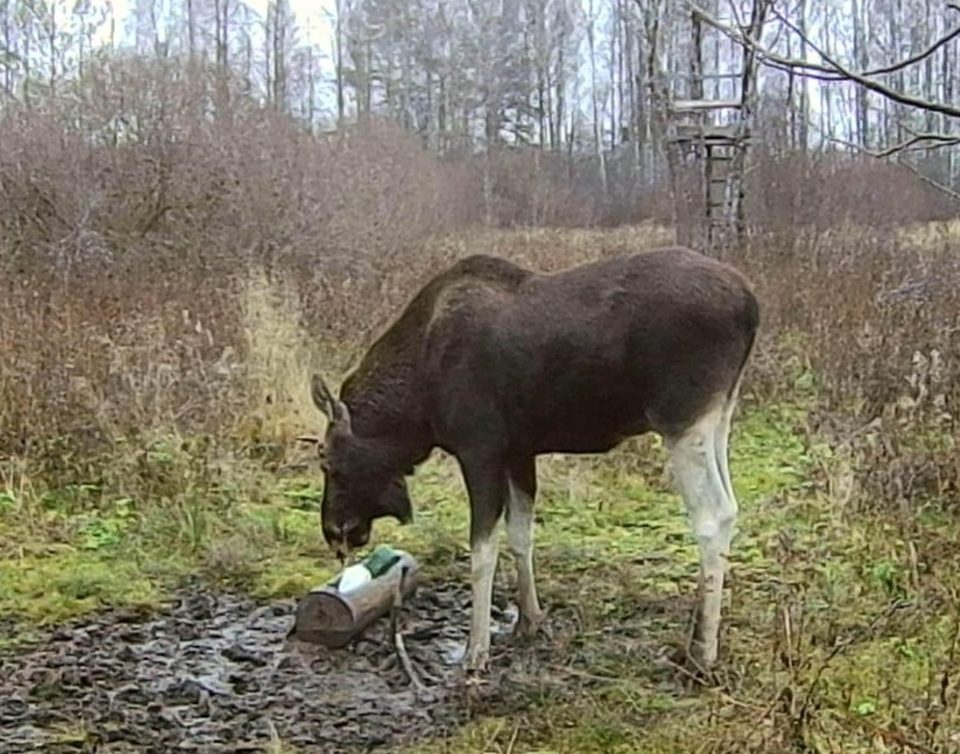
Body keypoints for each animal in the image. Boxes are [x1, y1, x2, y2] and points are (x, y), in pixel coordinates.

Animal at [312, 245, 760, 668]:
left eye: (327, 461)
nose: (333, 532)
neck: (417, 406)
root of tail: (751, 305)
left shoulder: (480, 449)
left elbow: (482, 553)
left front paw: (476, 651)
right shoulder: (518, 452)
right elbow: (521, 535)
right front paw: (529, 621)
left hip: (681, 419)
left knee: (713, 515)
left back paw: (702, 652)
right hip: (718, 418)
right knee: (731, 506)